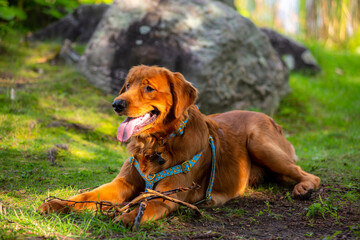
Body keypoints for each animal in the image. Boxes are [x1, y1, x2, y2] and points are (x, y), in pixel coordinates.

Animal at [40, 65, 320, 225]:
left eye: (149, 88)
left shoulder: (168, 195)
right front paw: (59, 204)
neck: (157, 144)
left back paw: (304, 187)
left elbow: (147, 202)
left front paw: (128, 216)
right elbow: (88, 195)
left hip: (259, 142)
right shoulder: (122, 183)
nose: (116, 104)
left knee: (309, 175)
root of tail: (269, 117)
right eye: (127, 85)